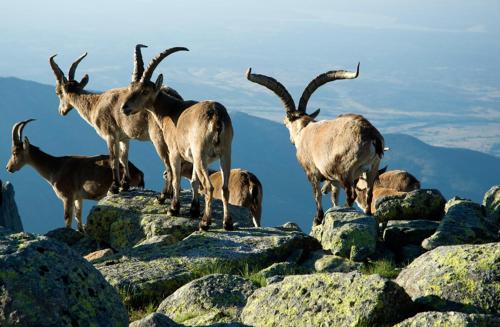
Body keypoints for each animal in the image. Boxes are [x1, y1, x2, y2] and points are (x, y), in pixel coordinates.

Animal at [5, 120, 144, 231]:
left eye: (15, 152)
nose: (8, 168)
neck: (55, 167)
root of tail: (138, 172)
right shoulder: (78, 198)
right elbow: (78, 217)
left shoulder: (67, 197)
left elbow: (67, 219)